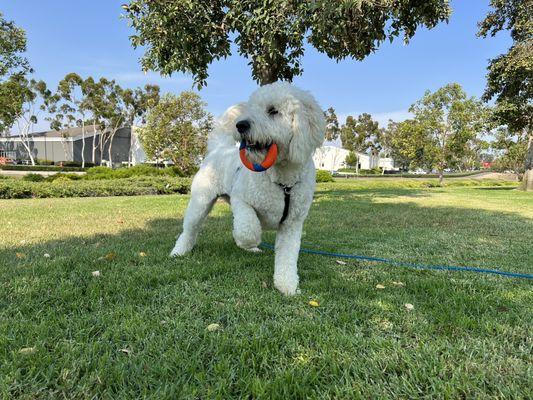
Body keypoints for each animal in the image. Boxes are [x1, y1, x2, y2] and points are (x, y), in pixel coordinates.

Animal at [170, 83, 324, 296]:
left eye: (273, 111)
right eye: (252, 107)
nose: (240, 125)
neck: (283, 183)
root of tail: (218, 148)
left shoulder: (292, 224)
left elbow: (287, 257)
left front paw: (287, 285)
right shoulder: (241, 200)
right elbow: (248, 230)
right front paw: (245, 241)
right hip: (200, 202)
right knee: (190, 229)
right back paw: (179, 251)